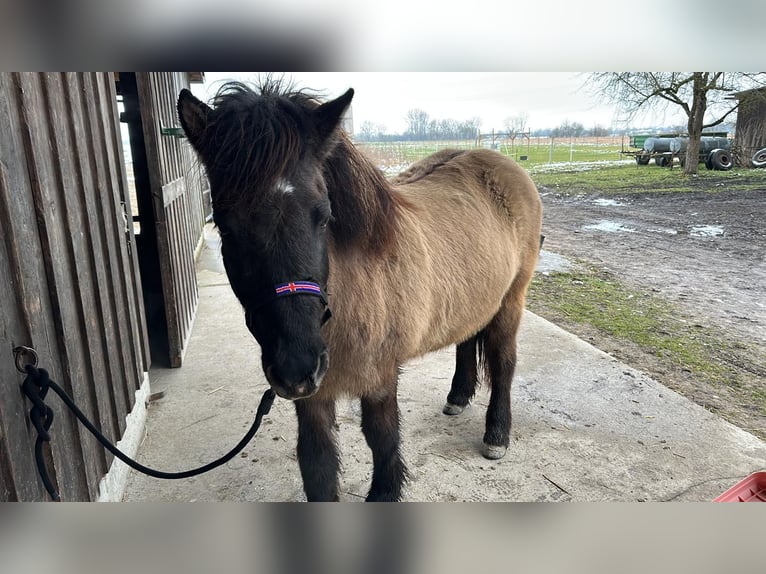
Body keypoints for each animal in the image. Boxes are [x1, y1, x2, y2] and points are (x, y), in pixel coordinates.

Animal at [177, 79, 543, 501]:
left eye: (323, 215)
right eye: (225, 226)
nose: (295, 366)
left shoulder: (380, 378)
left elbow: (382, 443)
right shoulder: (314, 396)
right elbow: (317, 463)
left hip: (511, 301)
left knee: (503, 361)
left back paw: (496, 434)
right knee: (467, 338)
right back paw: (457, 397)